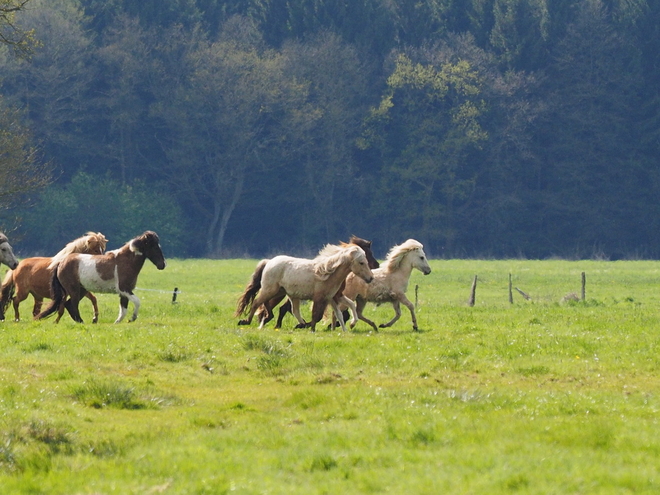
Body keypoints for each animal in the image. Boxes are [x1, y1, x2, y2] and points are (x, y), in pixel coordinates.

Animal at [235, 244, 374, 334]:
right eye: (361, 262)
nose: (371, 278)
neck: (328, 273)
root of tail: (269, 262)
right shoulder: (319, 298)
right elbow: (316, 315)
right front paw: (312, 330)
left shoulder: (331, 298)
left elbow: (340, 312)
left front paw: (346, 328)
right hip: (271, 290)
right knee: (257, 303)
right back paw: (246, 321)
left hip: (280, 292)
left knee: (285, 308)